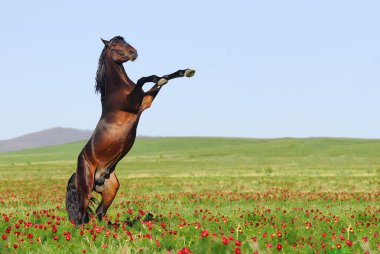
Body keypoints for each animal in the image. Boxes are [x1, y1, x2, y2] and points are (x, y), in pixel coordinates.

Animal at [65, 35, 194, 224]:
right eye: (113, 46)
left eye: (124, 41)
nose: (133, 52)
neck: (117, 88)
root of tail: (77, 171)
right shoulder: (133, 103)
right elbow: (142, 79)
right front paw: (158, 78)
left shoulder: (145, 102)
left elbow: (160, 80)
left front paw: (184, 72)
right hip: (86, 187)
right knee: (82, 216)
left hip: (111, 188)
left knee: (99, 212)